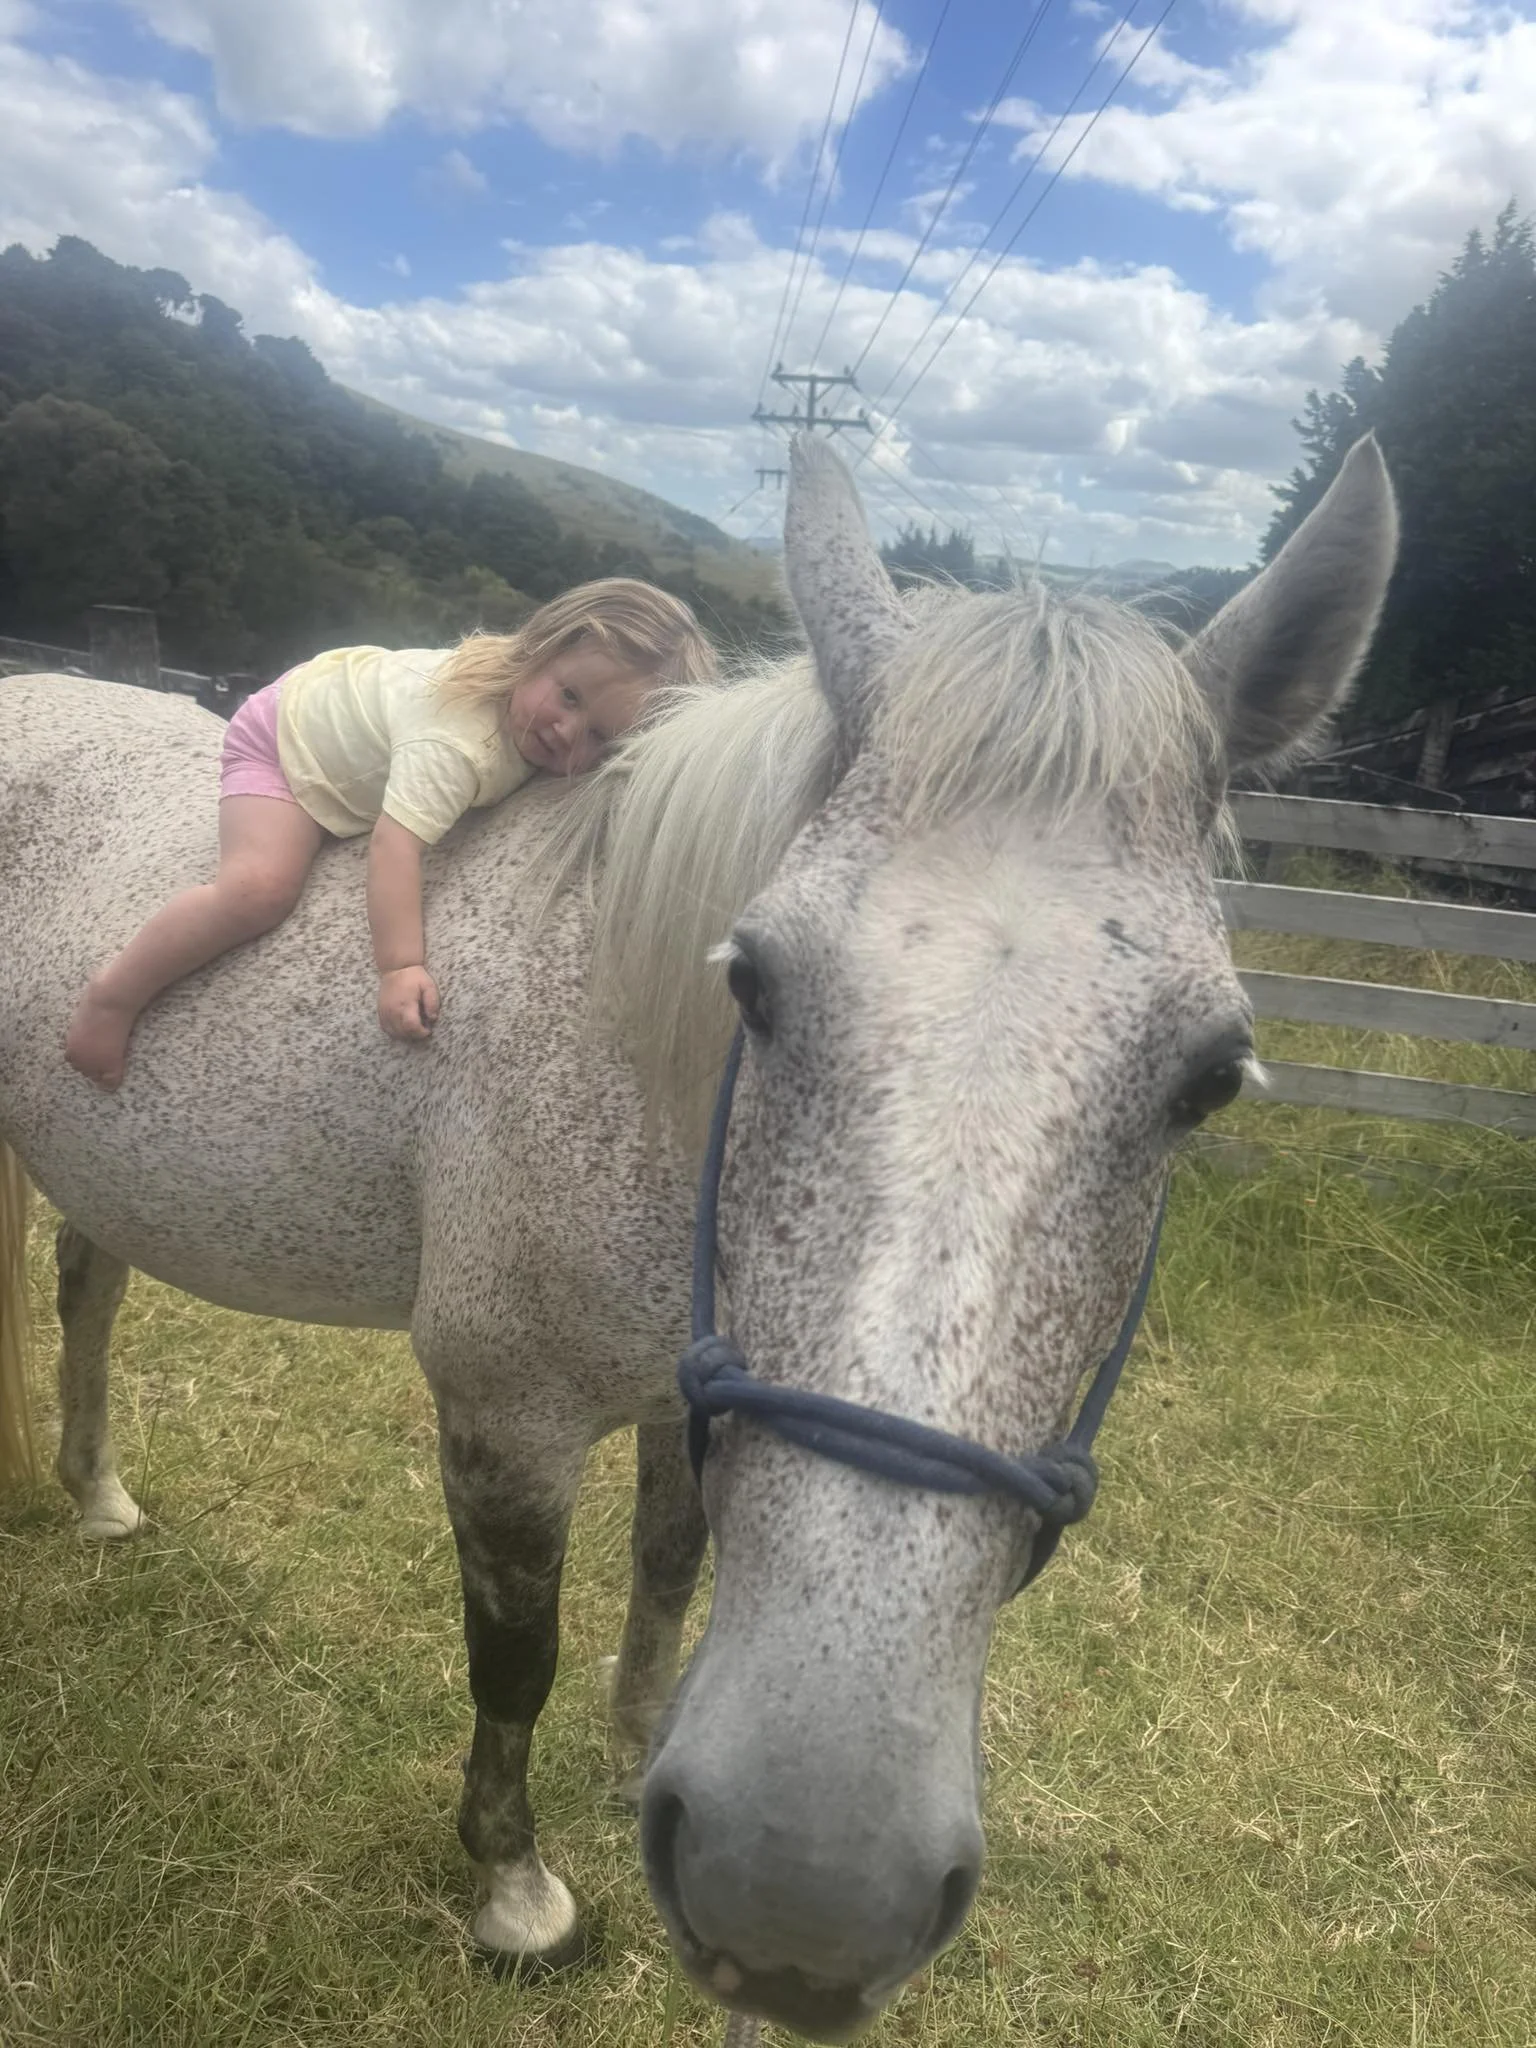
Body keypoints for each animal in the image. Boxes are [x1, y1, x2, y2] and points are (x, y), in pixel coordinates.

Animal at [0, 431, 1396, 2040]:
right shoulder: (505, 1412)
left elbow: (668, 1566)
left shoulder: (689, 1396)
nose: (805, 1884)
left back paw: (100, 1493)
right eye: (754, 982)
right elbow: (515, 1650)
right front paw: (518, 1889)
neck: (613, 1029)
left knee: (91, 1287)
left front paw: (631, 1760)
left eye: (1211, 1077)